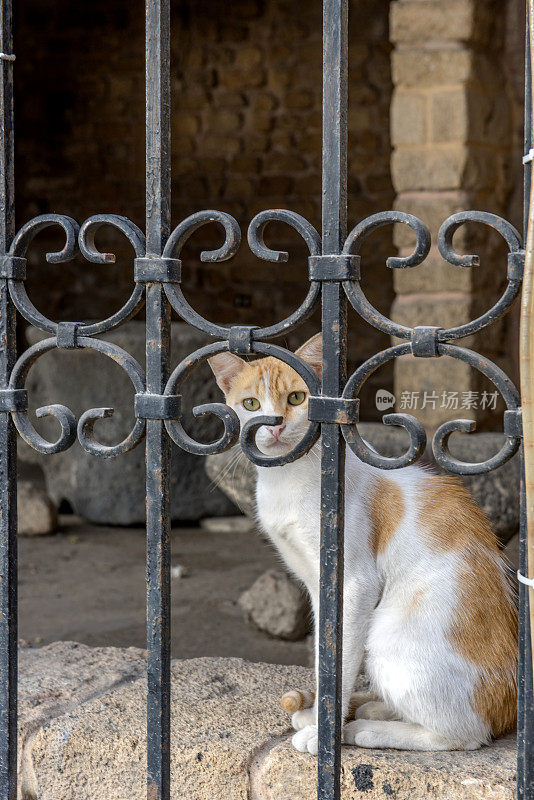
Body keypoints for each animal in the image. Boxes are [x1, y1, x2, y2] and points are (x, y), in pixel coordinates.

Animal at [208, 332, 520, 756]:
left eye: (296, 399)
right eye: (251, 405)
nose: (274, 426)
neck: (289, 479)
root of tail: (509, 701)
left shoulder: (354, 582)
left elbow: (341, 659)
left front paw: (323, 730)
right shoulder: (316, 583)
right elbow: (325, 655)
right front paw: (318, 714)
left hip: (389, 636)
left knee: (466, 734)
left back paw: (367, 730)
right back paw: (377, 708)